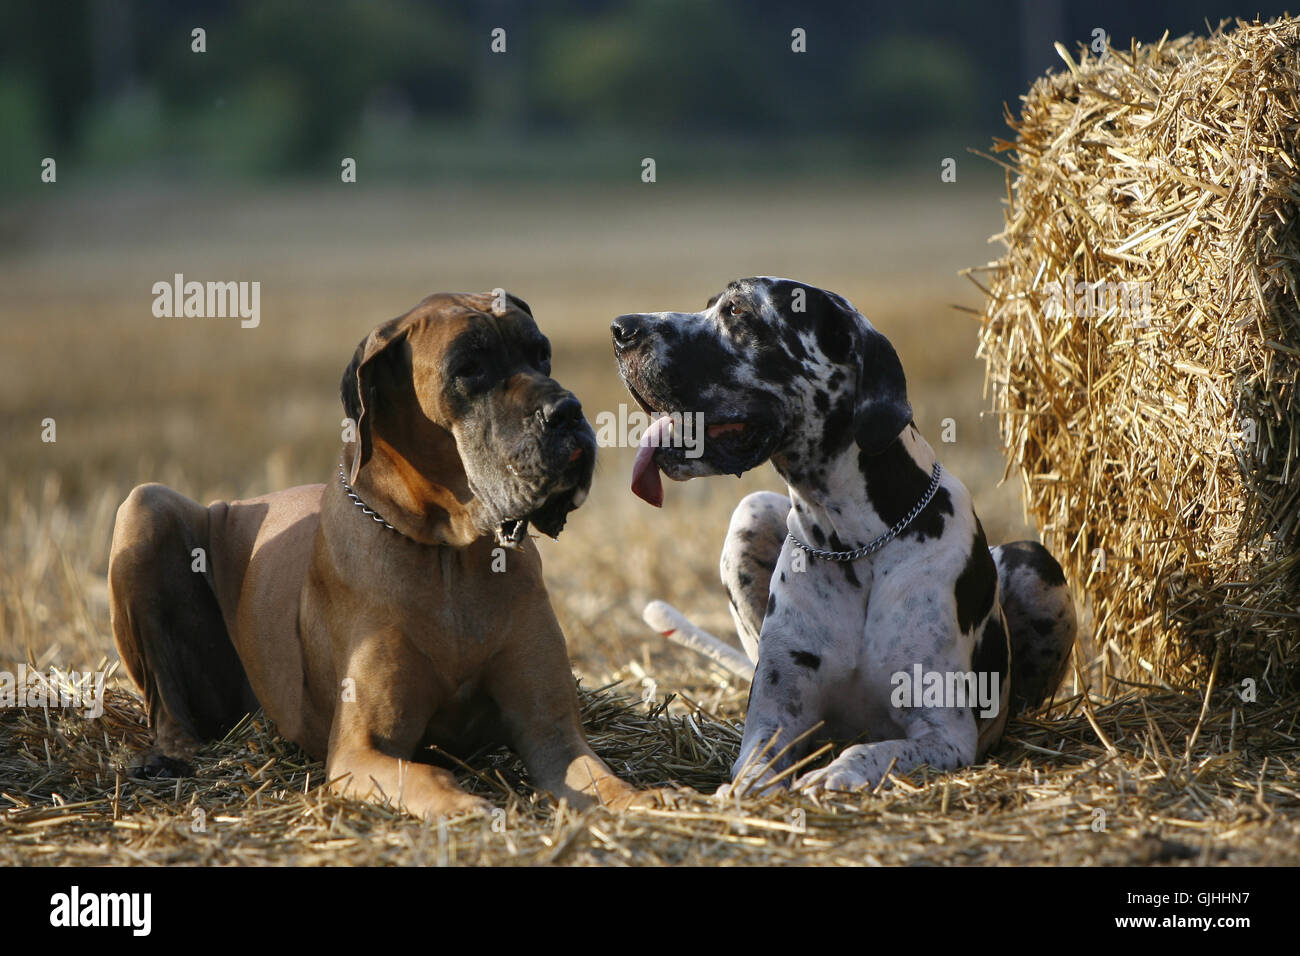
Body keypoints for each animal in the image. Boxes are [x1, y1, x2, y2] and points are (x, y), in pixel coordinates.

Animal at [105, 290, 650, 816]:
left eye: (542, 353)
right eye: (468, 368)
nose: (569, 410)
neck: (450, 555)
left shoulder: (552, 733)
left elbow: (599, 776)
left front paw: (645, 800)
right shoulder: (360, 750)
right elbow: (427, 774)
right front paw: (467, 806)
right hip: (145, 506)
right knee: (166, 704)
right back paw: (168, 758)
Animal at [608, 274, 1076, 790]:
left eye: (737, 311)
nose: (622, 328)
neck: (855, 546)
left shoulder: (943, 734)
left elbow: (870, 750)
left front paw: (838, 773)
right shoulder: (776, 722)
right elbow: (754, 770)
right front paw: (744, 792)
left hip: (1035, 563)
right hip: (749, 515)